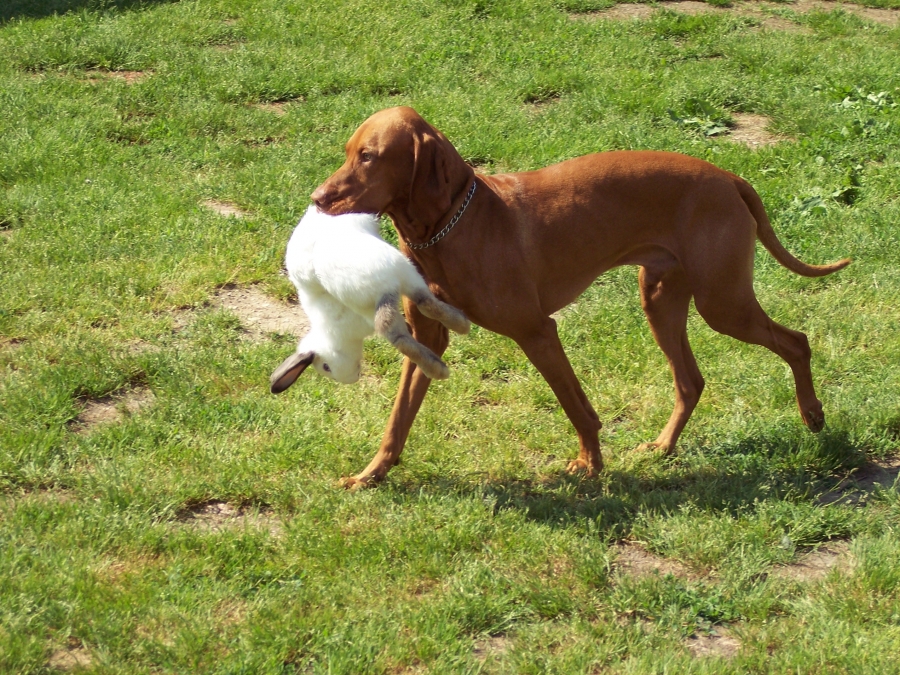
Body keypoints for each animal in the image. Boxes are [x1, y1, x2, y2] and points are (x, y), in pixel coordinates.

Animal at [309, 106, 850, 488]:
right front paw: (370, 475)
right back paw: (664, 446)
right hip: (660, 300)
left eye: (369, 156)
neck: (449, 228)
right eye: (348, 151)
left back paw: (812, 414)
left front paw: (590, 464)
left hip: (723, 303)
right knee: (691, 381)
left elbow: (577, 406)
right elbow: (398, 419)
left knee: (796, 341)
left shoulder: (536, 330)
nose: (317, 198)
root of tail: (730, 178)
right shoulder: (426, 340)